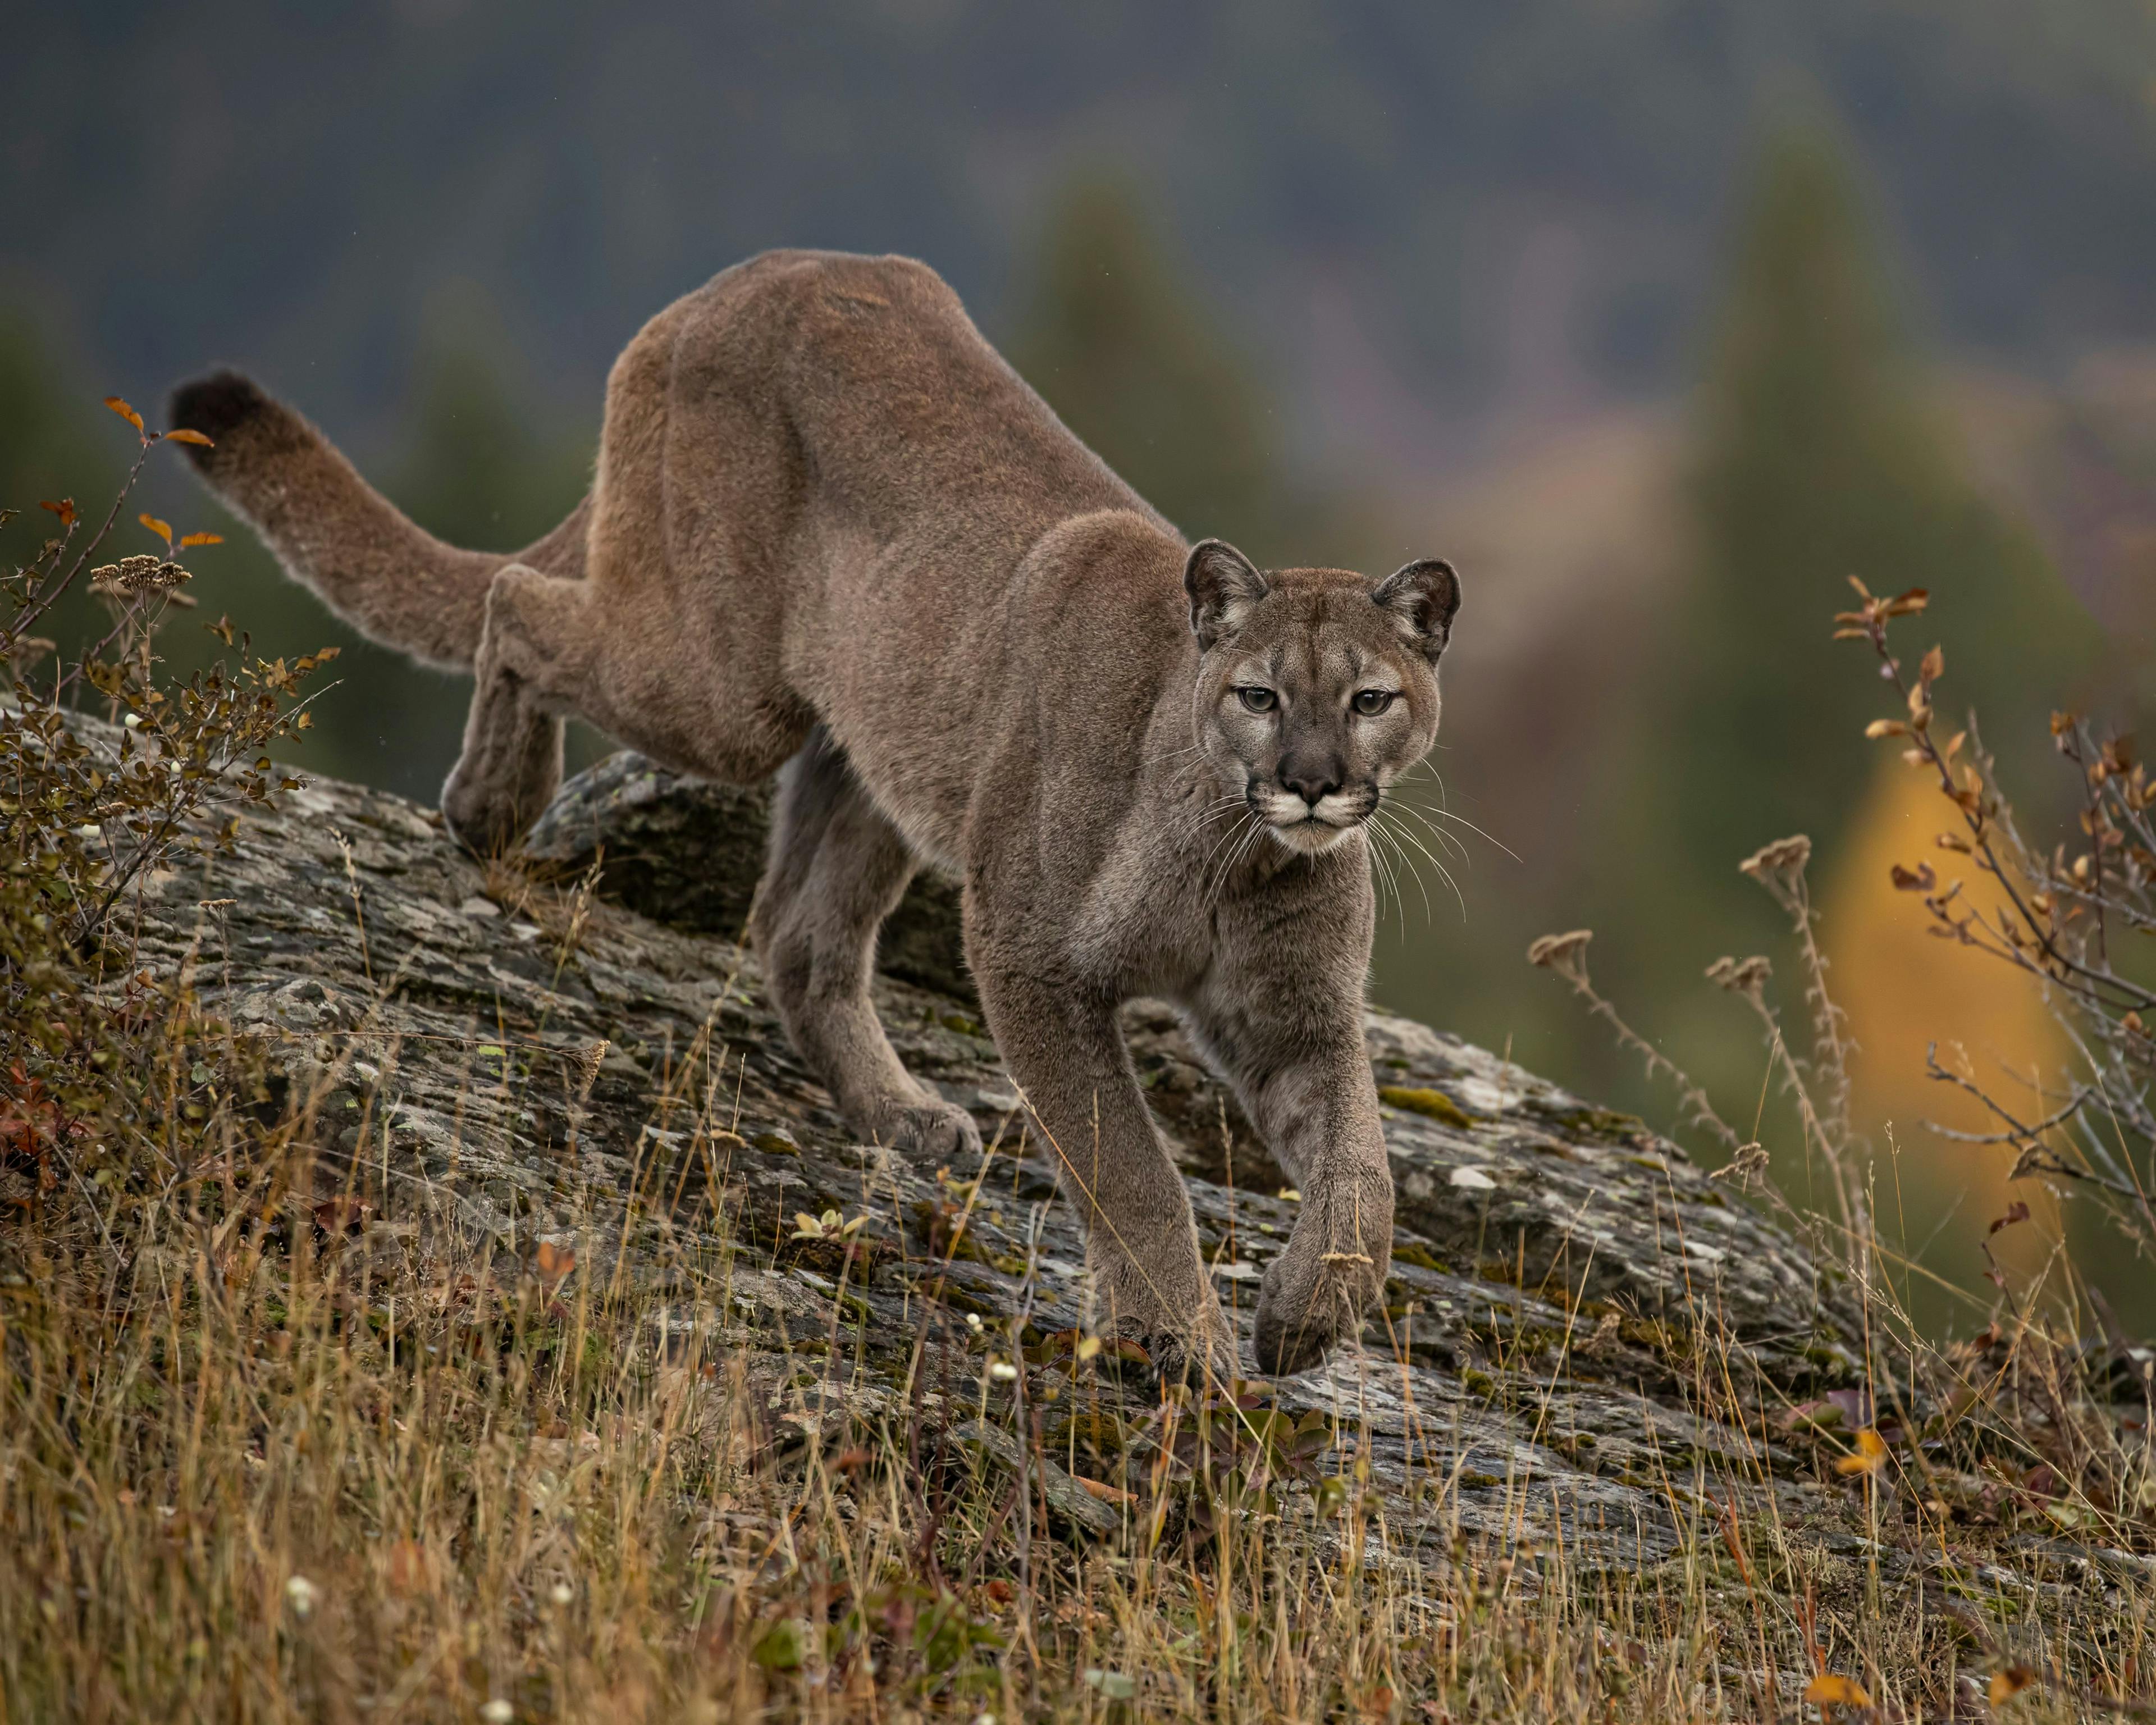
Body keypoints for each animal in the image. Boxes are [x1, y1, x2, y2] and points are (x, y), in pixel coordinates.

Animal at [172, 249, 1466, 1371]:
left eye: (1368, 699)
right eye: (1259, 695)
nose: (1312, 780)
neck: (1231, 852)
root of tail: (741, 276)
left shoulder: (1293, 1016)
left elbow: (1363, 1169)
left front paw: (1305, 1316)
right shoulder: (1034, 959)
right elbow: (1126, 1160)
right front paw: (1179, 1338)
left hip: (870, 754)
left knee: (797, 934)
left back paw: (900, 1114)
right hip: (721, 693)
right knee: (518, 604)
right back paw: (491, 806)